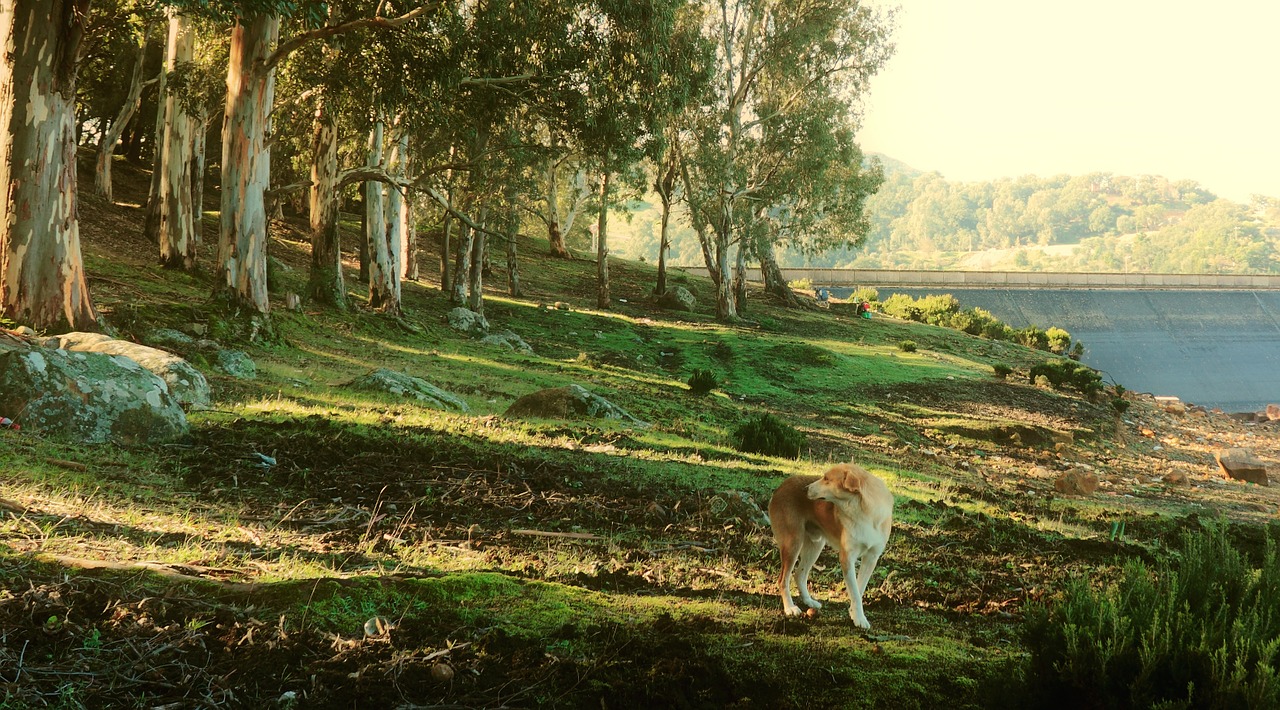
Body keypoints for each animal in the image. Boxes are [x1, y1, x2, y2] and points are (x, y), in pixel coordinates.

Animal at [762, 463, 896, 631]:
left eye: (826, 479)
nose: (805, 489)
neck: (862, 511)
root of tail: (782, 485)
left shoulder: (871, 558)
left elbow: (858, 590)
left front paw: (854, 613)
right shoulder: (847, 559)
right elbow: (855, 592)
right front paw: (859, 618)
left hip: (815, 546)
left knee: (799, 575)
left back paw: (809, 601)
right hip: (793, 543)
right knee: (783, 580)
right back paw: (790, 608)